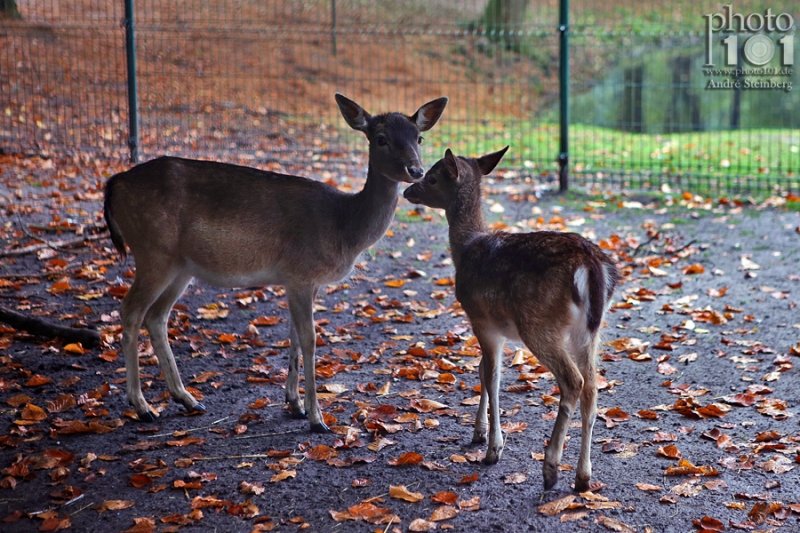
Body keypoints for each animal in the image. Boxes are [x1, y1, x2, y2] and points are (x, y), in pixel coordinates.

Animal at [103, 93, 446, 430]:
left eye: (419, 137)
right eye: (380, 138)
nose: (416, 170)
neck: (342, 226)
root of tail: (113, 184)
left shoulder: (302, 281)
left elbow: (294, 336)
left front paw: (295, 405)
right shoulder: (300, 273)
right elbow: (309, 339)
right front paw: (317, 418)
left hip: (180, 266)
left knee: (156, 316)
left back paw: (187, 399)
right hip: (152, 251)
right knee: (130, 310)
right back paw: (143, 406)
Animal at [406, 148, 620, 488]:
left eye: (433, 177)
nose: (408, 189)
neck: (465, 250)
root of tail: (591, 267)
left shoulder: (481, 320)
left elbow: (492, 376)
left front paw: (493, 448)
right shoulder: (492, 328)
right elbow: (482, 371)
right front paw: (478, 433)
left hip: (538, 323)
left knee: (573, 380)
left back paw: (551, 467)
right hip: (590, 330)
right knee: (592, 386)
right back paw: (583, 476)